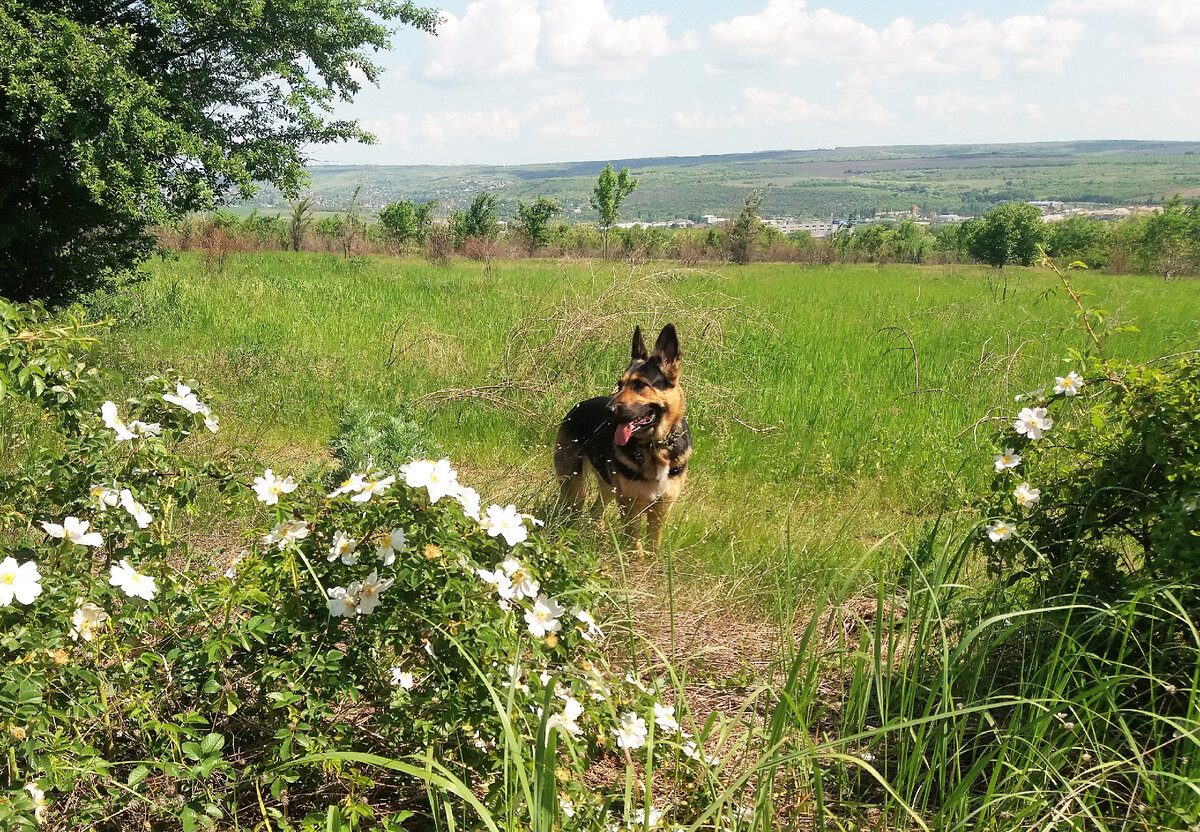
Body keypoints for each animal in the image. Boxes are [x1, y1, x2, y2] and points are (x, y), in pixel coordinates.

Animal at [554, 324, 696, 552]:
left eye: (640, 385)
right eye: (619, 385)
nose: (608, 410)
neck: (655, 446)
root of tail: (578, 405)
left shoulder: (660, 510)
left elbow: (652, 548)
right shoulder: (631, 508)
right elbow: (635, 546)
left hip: (608, 486)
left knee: (596, 511)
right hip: (575, 487)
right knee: (575, 510)